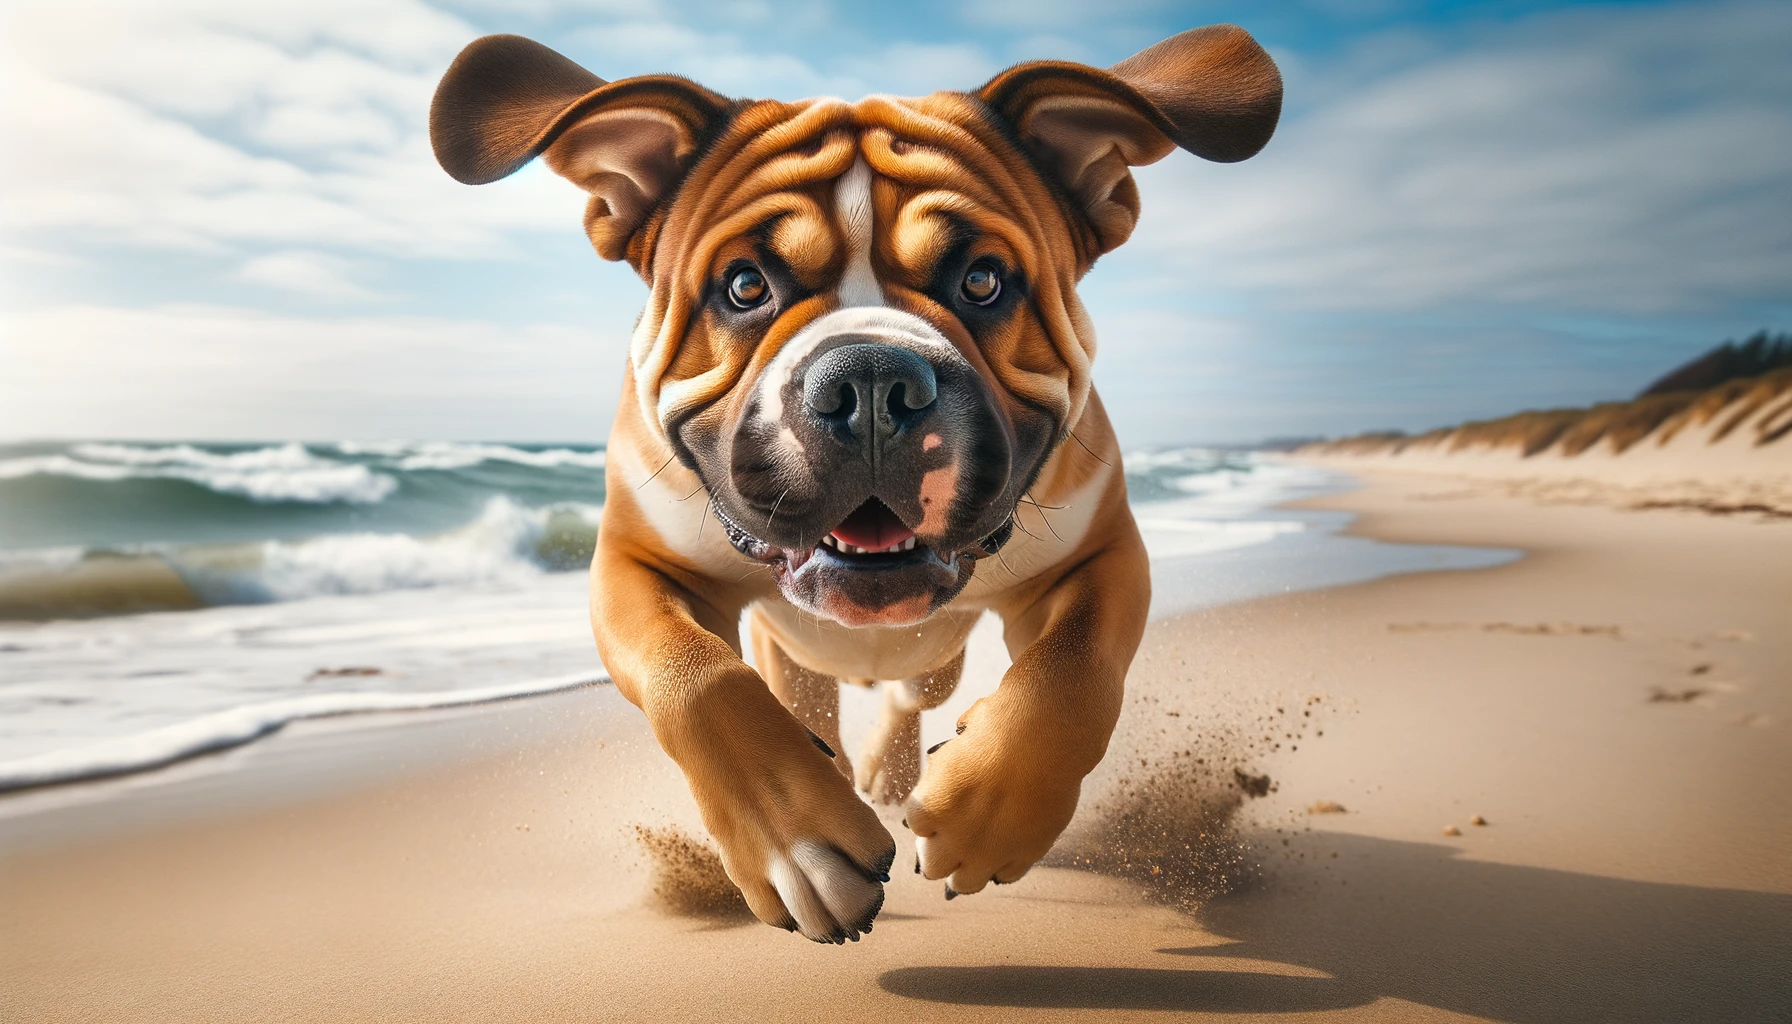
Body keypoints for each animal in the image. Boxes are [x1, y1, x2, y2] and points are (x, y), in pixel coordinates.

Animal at [430, 28, 1275, 946]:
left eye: (983, 280)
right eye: (744, 286)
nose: (871, 379)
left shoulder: (1104, 553)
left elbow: (1075, 669)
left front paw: (987, 816)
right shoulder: (634, 565)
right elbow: (694, 677)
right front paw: (797, 843)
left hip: (936, 658)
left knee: (913, 688)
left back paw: (886, 769)